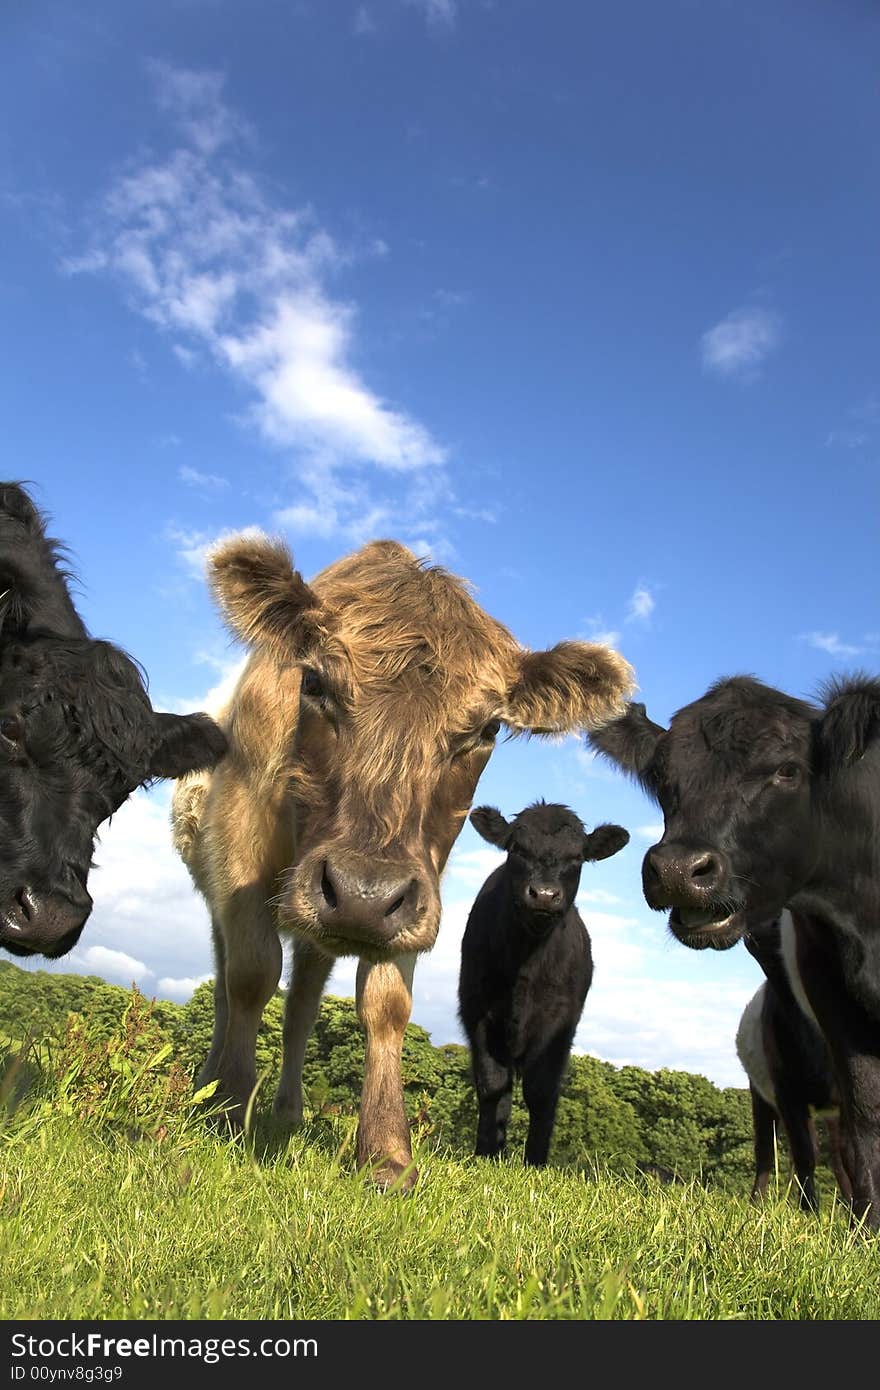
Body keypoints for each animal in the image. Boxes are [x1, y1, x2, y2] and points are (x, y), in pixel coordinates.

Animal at [455, 800, 628, 1167]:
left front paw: (534, 1162)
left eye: (577, 857)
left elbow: (541, 1091)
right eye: (518, 849)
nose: (545, 895)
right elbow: (493, 1085)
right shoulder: (478, 1011)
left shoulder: (559, 1023)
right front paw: (487, 1154)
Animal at [734, 917, 850, 1212]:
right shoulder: (785, 1089)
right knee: (765, 1150)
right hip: (760, 1093)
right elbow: (805, 1153)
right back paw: (757, 1204)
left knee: (836, 1157)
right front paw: (809, 1211)